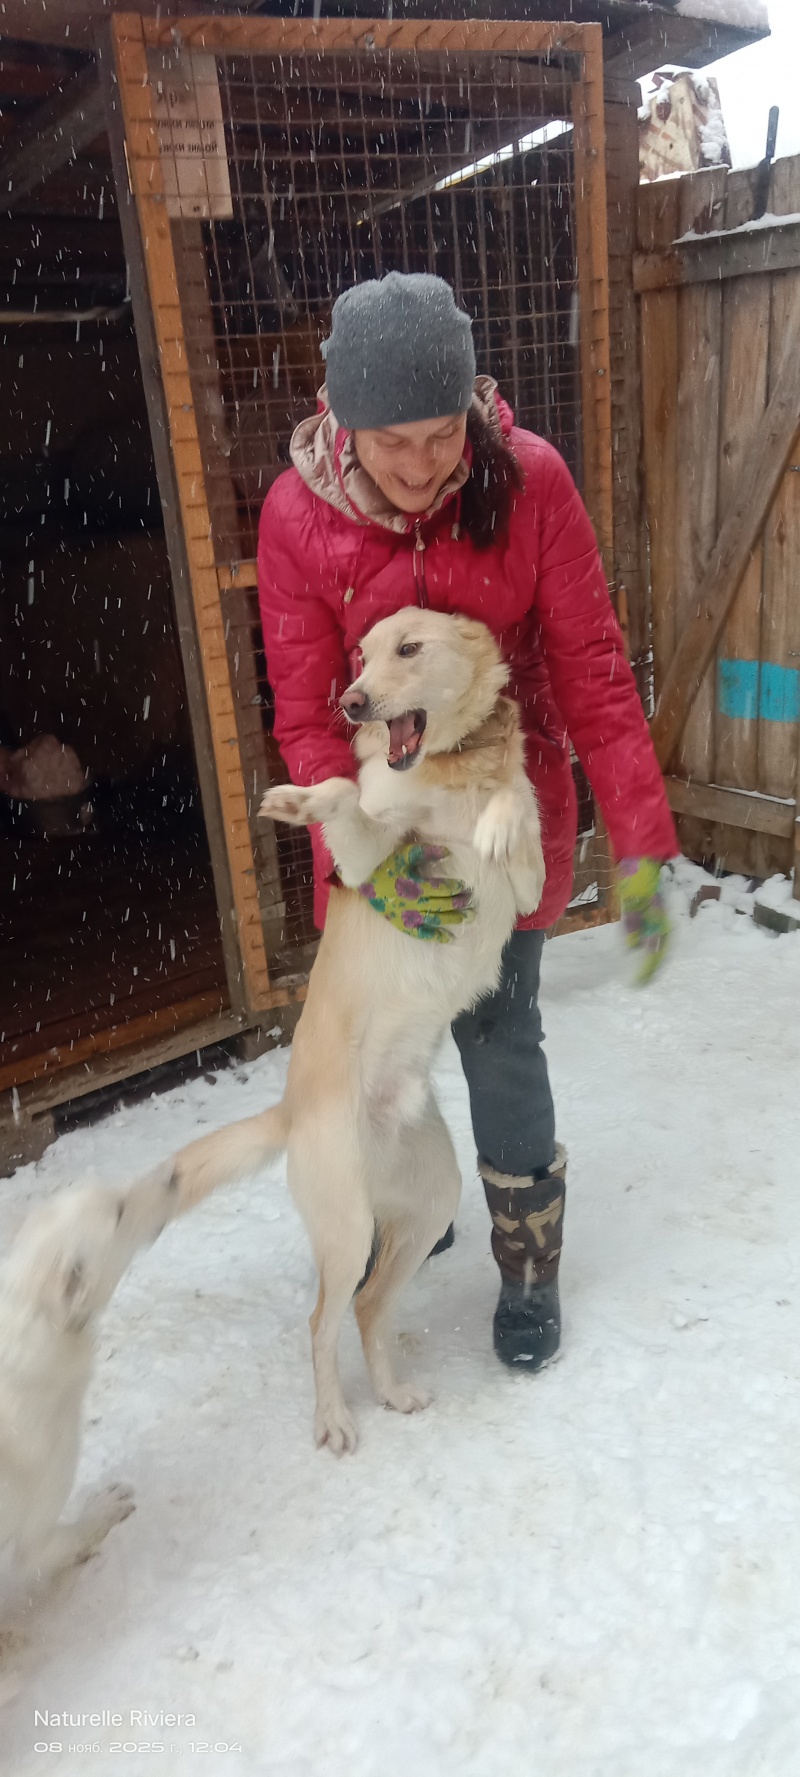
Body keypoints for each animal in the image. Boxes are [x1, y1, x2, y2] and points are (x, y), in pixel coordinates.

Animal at [0, 1166, 175, 1586]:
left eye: (114, 1194)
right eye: (120, 1212)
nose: (173, 1174)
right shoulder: (35, 1538)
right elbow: (60, 1541)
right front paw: (103, 1508)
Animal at [164, 609, 545, 1453]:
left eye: (409, 648)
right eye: (360, 655)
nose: (353, 703)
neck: (447, 772)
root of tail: (290, 1115)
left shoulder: (532, 884)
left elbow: (516, 815)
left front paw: (498, 821)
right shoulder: (373, 858)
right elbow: (344, 795)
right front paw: (298, 803)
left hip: (429, 1202)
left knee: (369, 1307)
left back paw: (393, 1392)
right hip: (343, 1228)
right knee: (319, 1321)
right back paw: (334, 1417)